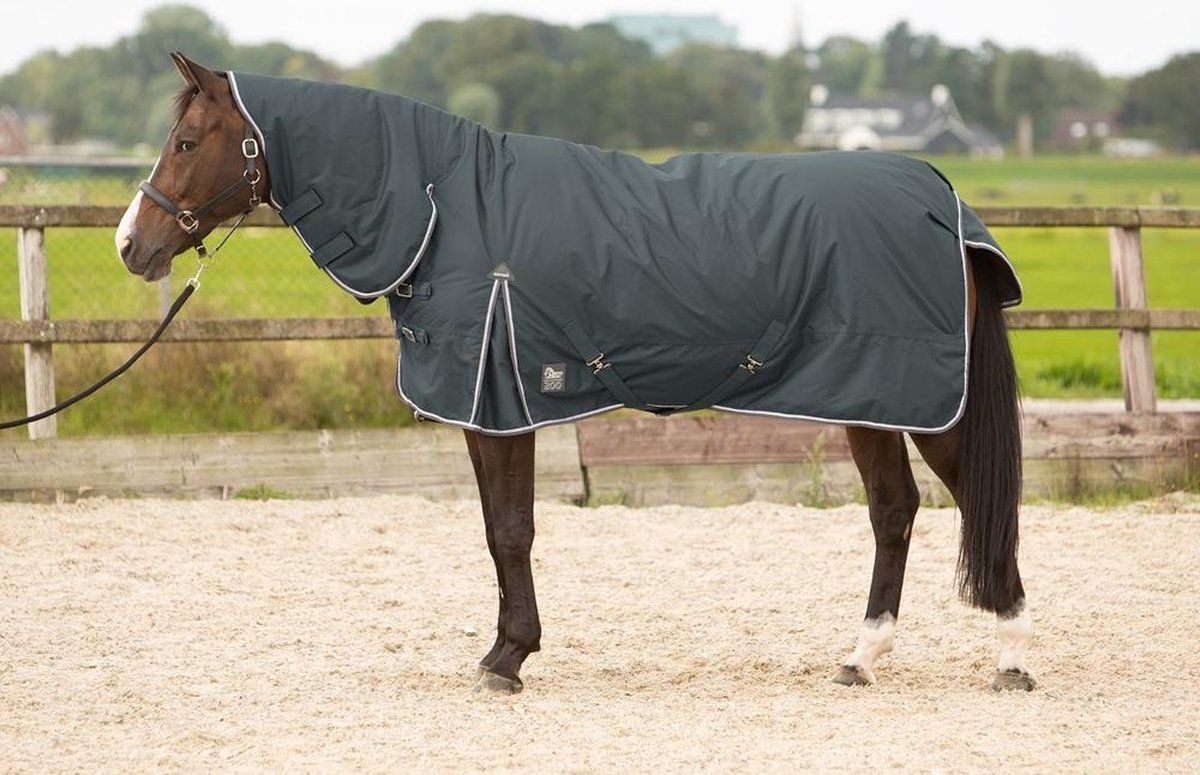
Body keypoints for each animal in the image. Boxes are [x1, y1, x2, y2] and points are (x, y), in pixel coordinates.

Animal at [116, 53, 1036, 695]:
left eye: (186, 143)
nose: (132, 244)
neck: (445, 207)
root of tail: (941, 196)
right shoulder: (489, 407)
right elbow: (498, 528)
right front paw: (502, 649)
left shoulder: (501, 402)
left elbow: (511, 530)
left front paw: (507, 658)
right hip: (868, 395)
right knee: (895, 509)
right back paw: (861, 656)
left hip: (923, 399)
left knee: (980, 504)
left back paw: (1010, 654)